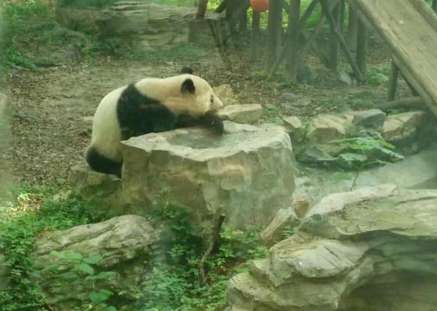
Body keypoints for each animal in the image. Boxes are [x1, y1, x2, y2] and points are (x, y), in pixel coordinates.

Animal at [84, 67, 225, 178]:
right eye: (211, 99)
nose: (222, 105)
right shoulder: (136, 108)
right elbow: (151, 129)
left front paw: (214, 122)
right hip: (105, 144)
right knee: (97, 158)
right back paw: (117, 169)